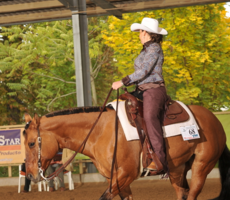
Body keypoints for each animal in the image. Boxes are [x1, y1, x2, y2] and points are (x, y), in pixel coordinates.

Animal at [22, 104, 230, 199]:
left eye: (31, 143)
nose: (30, 175)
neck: (100, 132)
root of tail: (215, 121)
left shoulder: (125, 175)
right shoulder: (117, 179)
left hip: (202, 166)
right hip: (177, 170)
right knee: (182, 193)